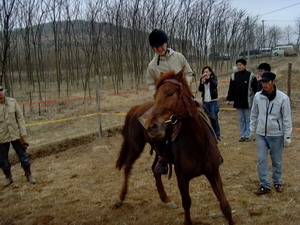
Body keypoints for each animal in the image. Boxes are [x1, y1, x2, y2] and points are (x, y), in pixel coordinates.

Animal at [145, 69, 234, 225]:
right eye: (155, 96)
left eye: (170, 93)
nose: (151, 126)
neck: (197, 143)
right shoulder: (182, 177)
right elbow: (186, 203)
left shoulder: (213, 172)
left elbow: (224, 204)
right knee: (155, 170)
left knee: (155, 169)